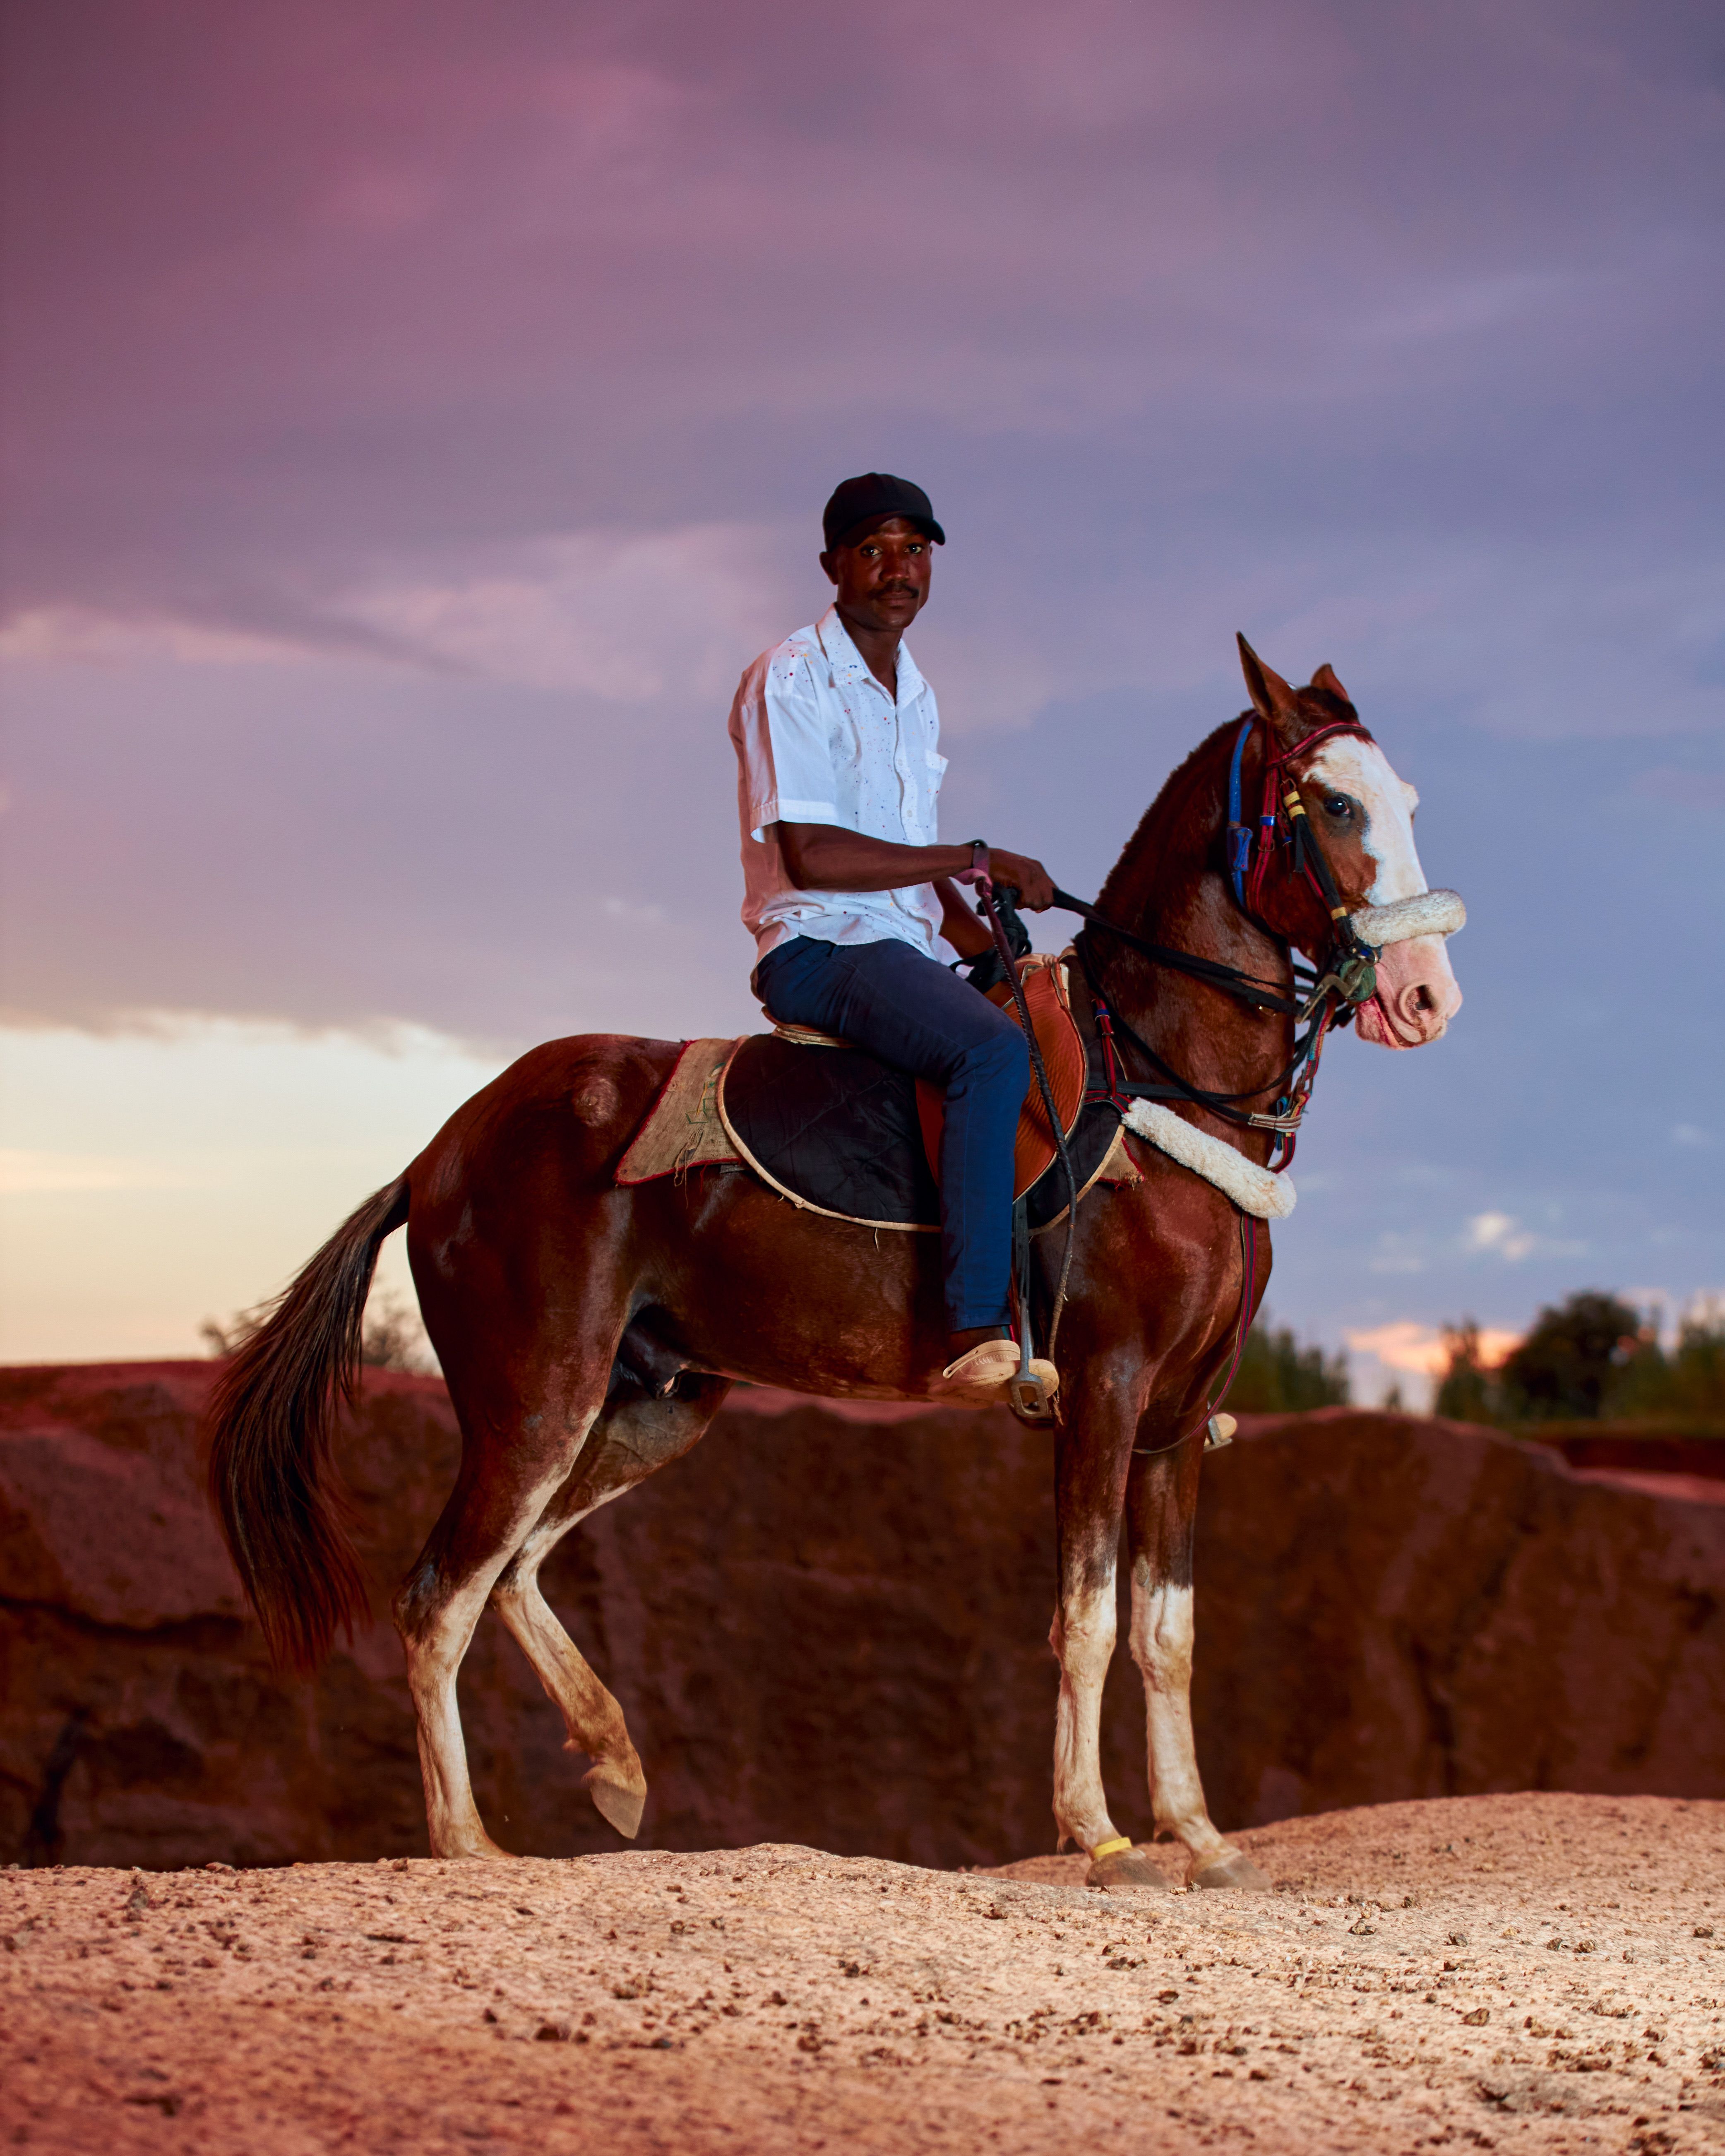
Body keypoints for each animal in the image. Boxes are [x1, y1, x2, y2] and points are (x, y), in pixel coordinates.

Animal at [206, 637, 1462, 1890]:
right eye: (1334, 804)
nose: (1425, 996)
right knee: (439, 1598)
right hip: (535, 1398)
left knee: (514, 1571)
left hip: (653, 1404)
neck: (1153, 1073)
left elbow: (1169, 1631)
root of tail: (435, 1154)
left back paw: (613, 1760)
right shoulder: (1104, 1394)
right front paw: (1099, 1833)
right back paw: (467, 1840)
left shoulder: (1179, 1420)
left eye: (1406, 801)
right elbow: (1090, 1619)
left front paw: (1197, 1833)